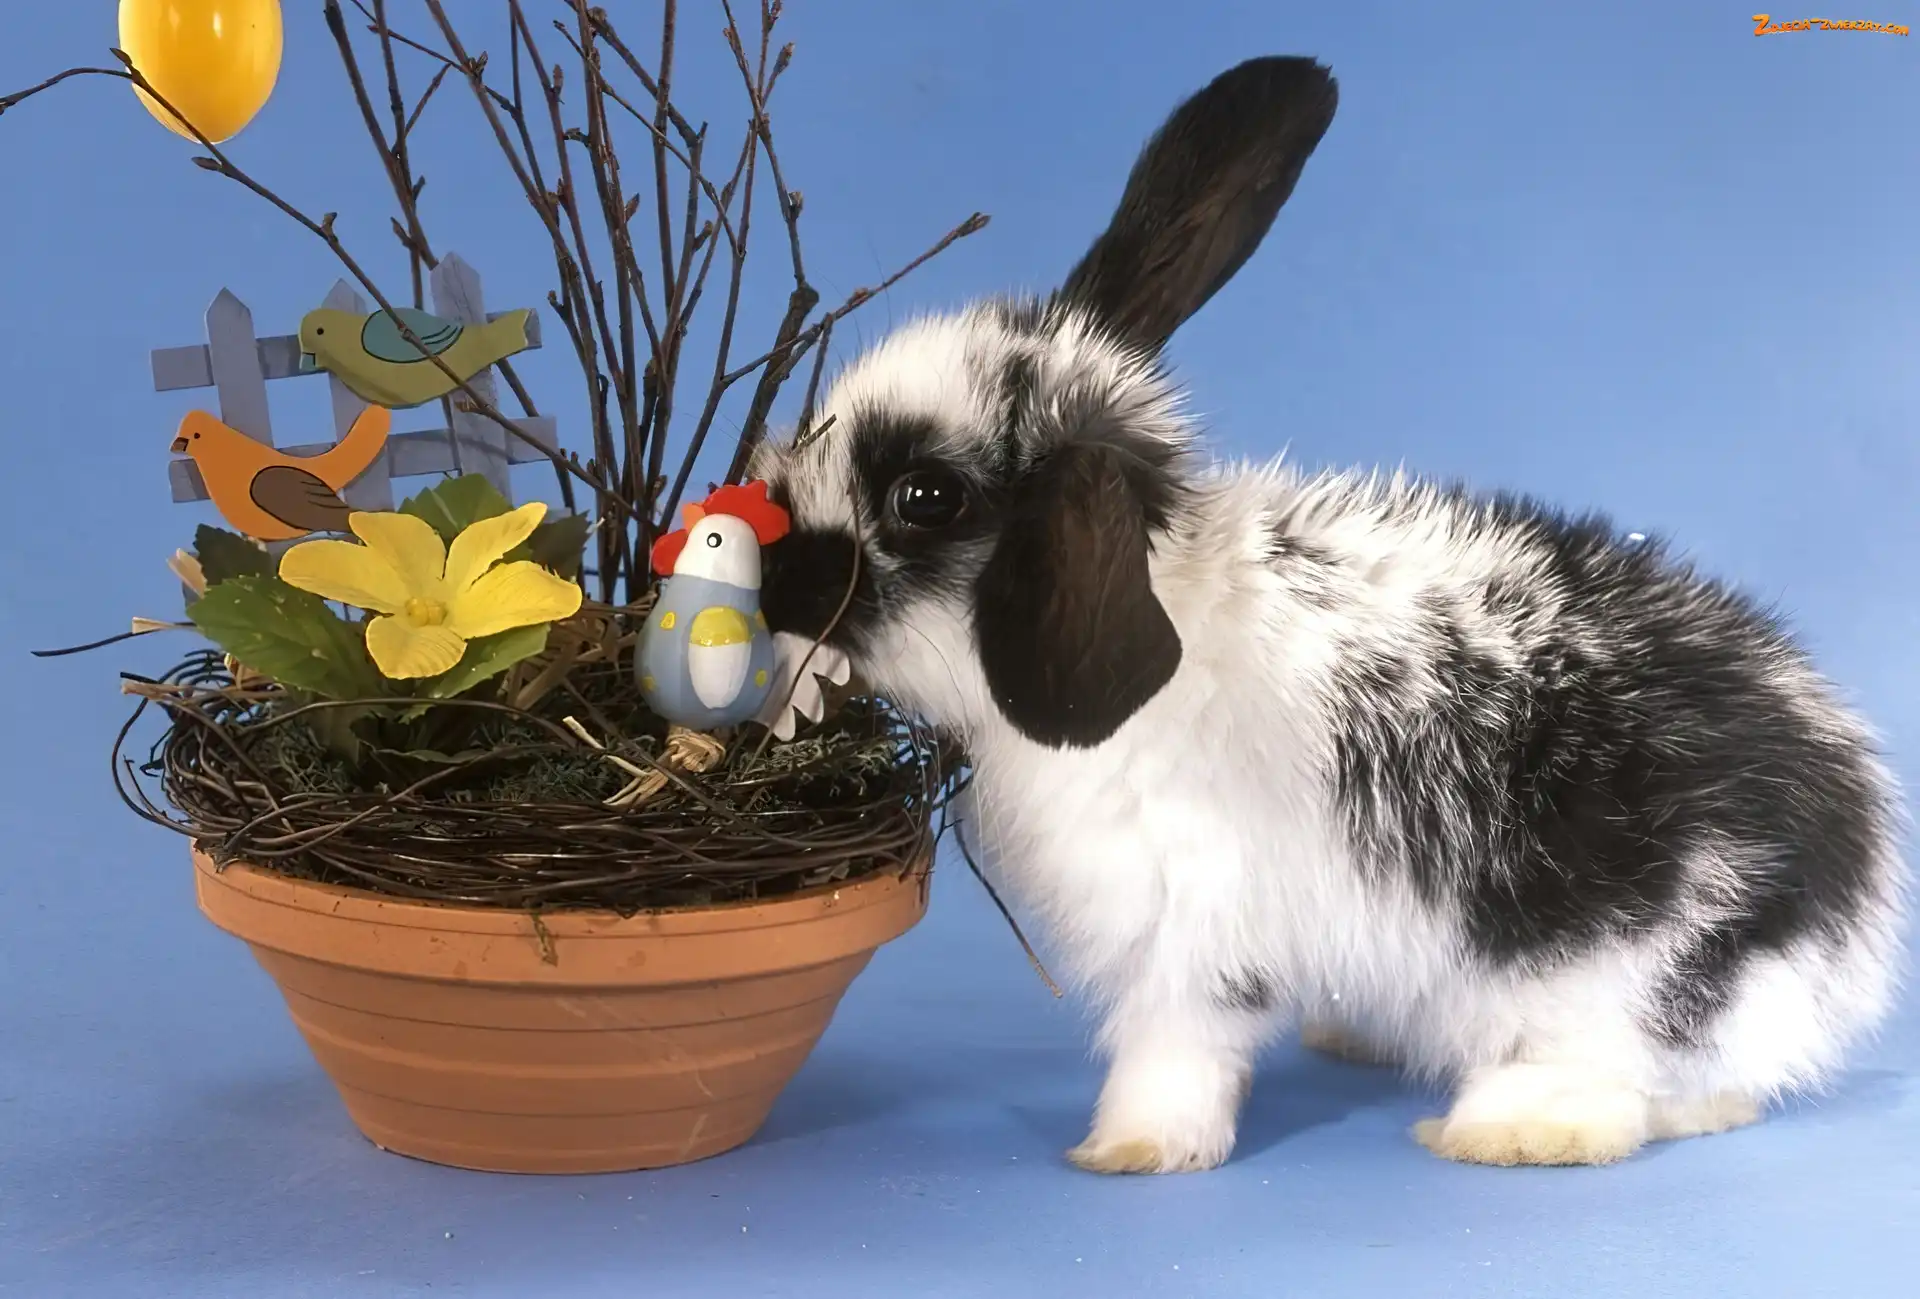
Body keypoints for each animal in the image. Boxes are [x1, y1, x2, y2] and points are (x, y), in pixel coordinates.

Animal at [749, 55, 1909, 1171]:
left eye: (925, 497)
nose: (774, 579)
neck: (1162, 605)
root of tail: (1859, 892)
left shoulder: (1194, 929)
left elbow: (1176, 1047)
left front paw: (1128, 1150)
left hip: (1624, 968)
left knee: (1661, 1086)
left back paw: (1511, 1131)